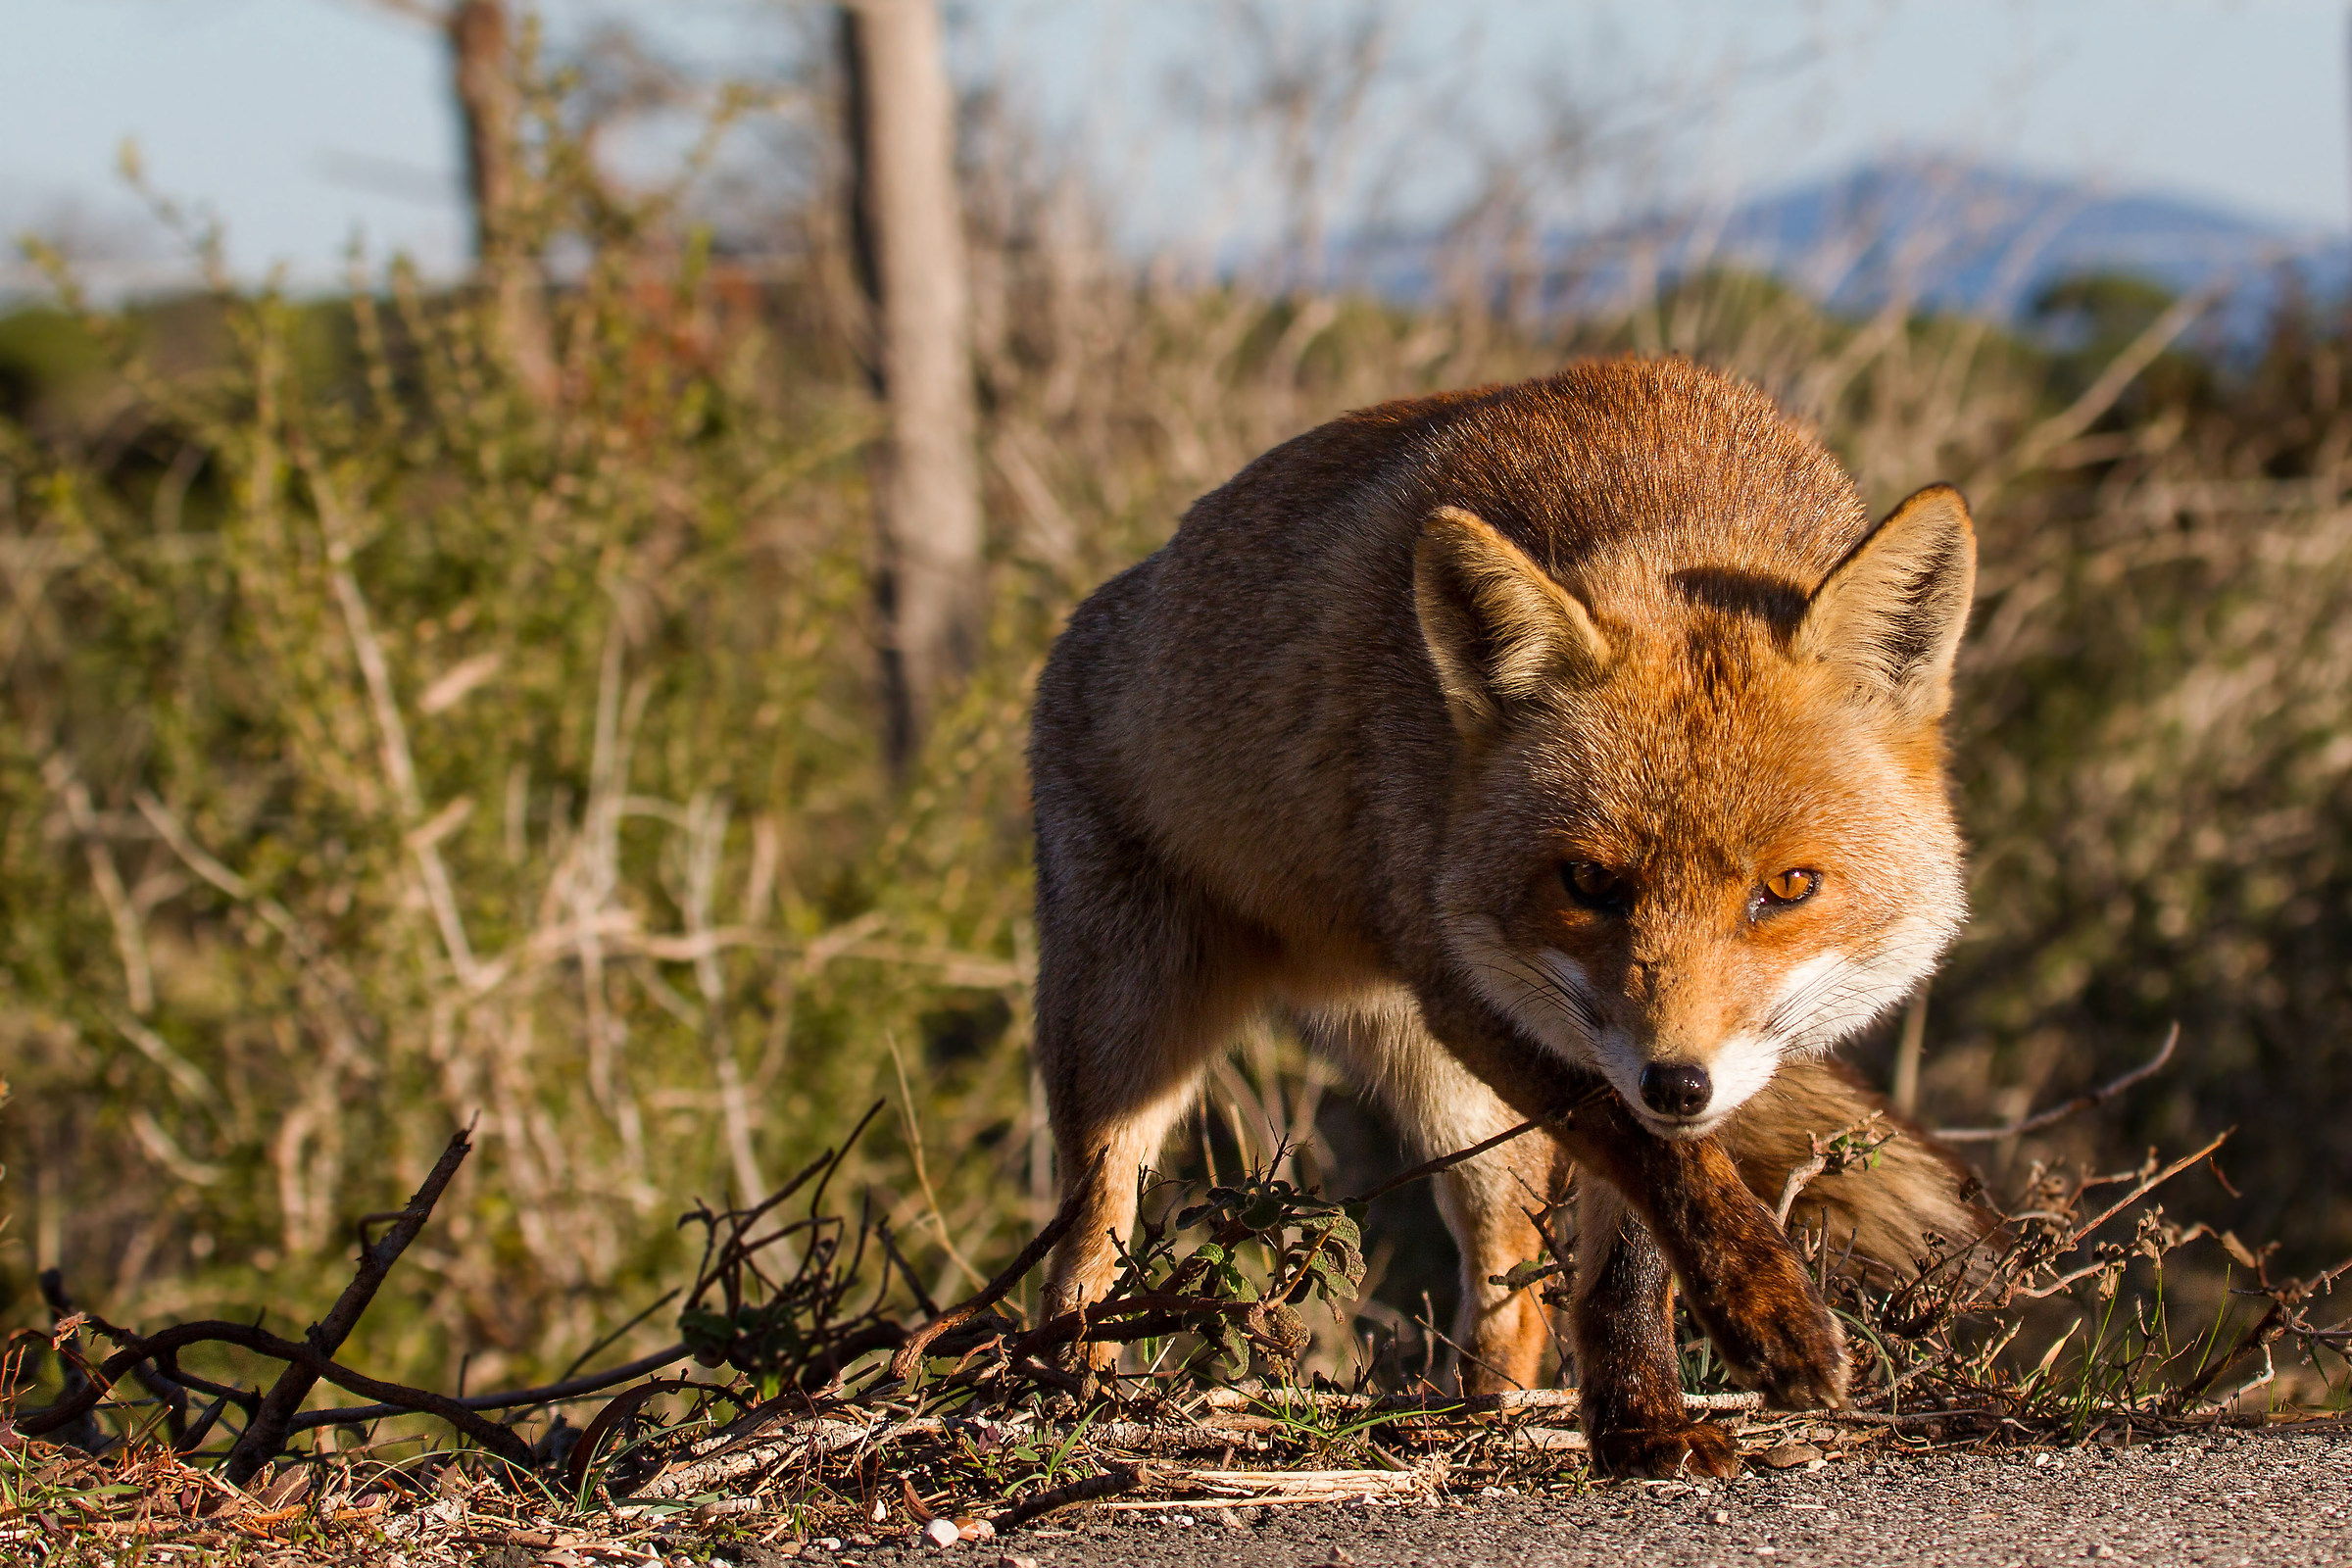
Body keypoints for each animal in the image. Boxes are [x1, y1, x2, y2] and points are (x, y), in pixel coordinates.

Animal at [1028, 357, 1987, 1477]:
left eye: (1788, 888)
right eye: (1588, 882)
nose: (1679, 1079)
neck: (1668, 493)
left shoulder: (1627, 1047)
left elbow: (1635, 1239)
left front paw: (1640, 1419)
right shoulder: (1484, 996)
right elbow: (1656, 1158)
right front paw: (1768, 1316)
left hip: (1462, 1113)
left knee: (1507, 1282)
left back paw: (1483, 1414)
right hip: (1130, 1037)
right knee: (1089, 1232)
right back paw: (1064, 1397)